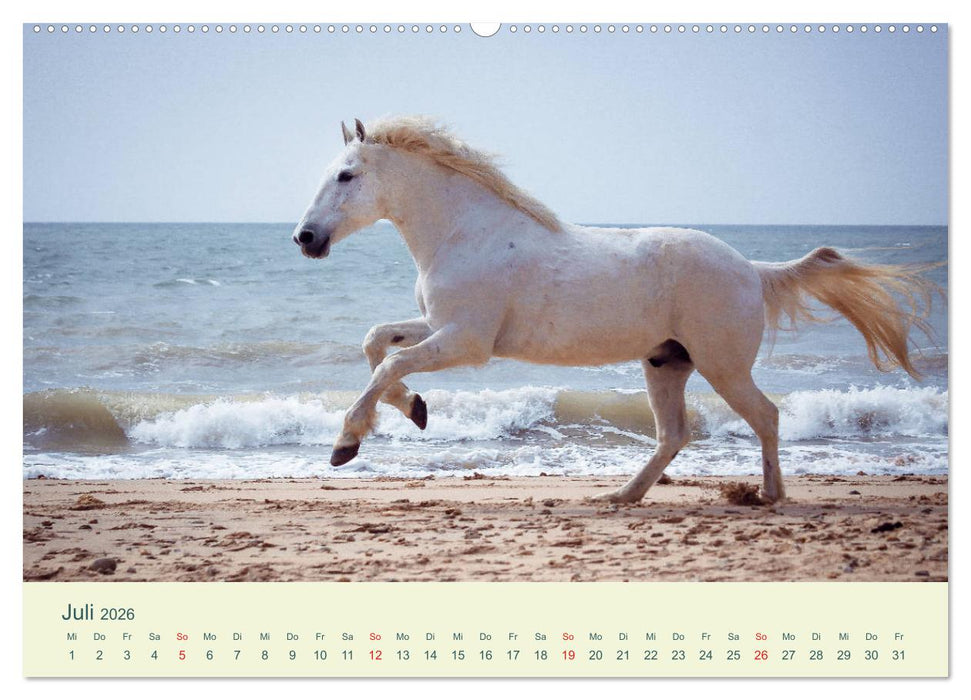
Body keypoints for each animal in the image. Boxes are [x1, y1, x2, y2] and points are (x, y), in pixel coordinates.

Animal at [292, 116, 935, 504]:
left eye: (346, 175)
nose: (305, 238)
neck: (465, 233)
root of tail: (752, 270)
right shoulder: (436, 327)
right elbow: (376, 341)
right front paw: (415, 410)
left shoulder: (466, 342)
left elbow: (388, 364)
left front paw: (347, 443)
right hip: (666, 364)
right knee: (674, 434)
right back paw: (623, 495)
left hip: (723, 366)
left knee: (766, 416)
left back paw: (768, 496)